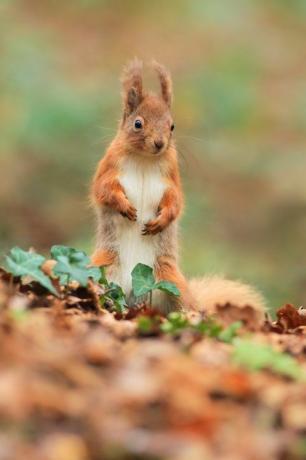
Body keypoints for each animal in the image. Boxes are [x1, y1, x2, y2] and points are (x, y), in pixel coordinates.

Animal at [91, 56, 266, 316]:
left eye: (172, 126)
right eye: (137, 123)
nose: (159, 143)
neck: (144, 159)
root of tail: (135, 297)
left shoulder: (171, 178)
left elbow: (176, 202)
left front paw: (161, 221)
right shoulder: (108, 168)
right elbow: (102, 190)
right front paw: (124, 206)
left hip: (171, 281)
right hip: (101, 269)